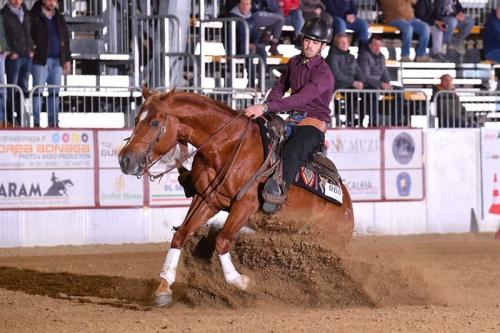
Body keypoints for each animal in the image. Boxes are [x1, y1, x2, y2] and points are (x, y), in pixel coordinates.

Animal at [118, 88, 354, 306]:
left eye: (155, 122)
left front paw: (244, 282)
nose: (125, 159)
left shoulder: (245, 205)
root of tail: (347, 205)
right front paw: (163, 288)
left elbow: (222, 241)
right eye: (137, 119)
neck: (226, 145)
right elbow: (181, 235)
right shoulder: (207, 199)